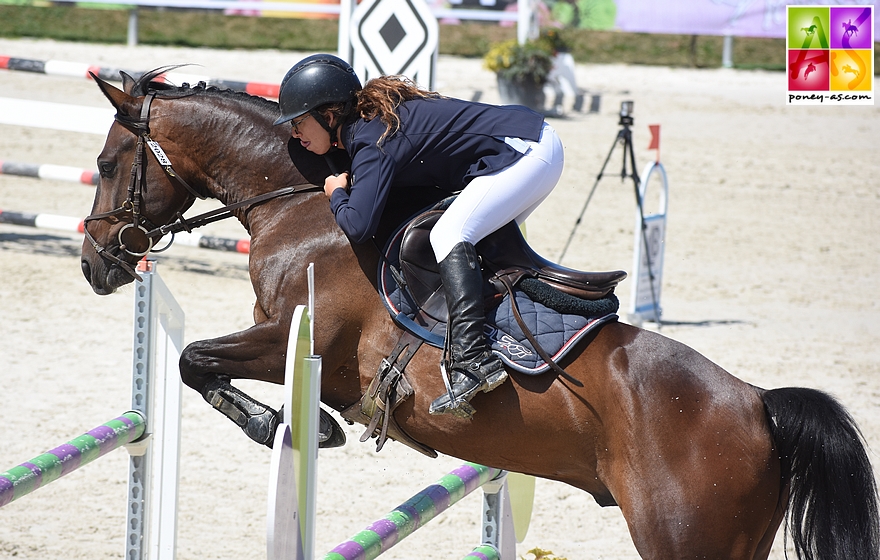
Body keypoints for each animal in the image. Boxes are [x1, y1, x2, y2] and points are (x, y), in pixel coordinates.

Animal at [79, 70, 876, 560]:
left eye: (110, 163)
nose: (95, 263)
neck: (300, 204)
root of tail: (760, 404)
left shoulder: (293, 343)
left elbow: (195, 359)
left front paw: (287, 425)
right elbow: (197, 362)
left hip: (686, 535)